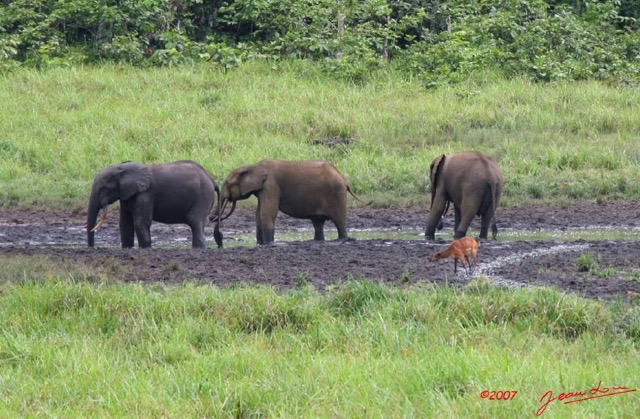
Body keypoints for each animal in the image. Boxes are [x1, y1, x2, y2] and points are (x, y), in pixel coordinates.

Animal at [86, 161, 224, 249]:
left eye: (104, 189)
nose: (92, 248)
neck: (122, 167)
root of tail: (211, 180)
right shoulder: (126, 195)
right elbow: (125, 225)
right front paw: (127, 249)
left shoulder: (145, 194)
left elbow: (140, 223)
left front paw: (146, 249)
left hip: (203, 195)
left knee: (194, 220)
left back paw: (198, 249)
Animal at [212, 161, 368, 246]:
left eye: (228, 183)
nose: (212, 217)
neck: (253, 167)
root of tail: (343, 178)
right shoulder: (263, 190)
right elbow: (259, 216)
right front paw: (260, 244)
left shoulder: (271, 186)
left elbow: (266, 214)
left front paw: (268, 244)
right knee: (318, 224)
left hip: (337, 194)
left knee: (339, 222)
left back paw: (343, 239)